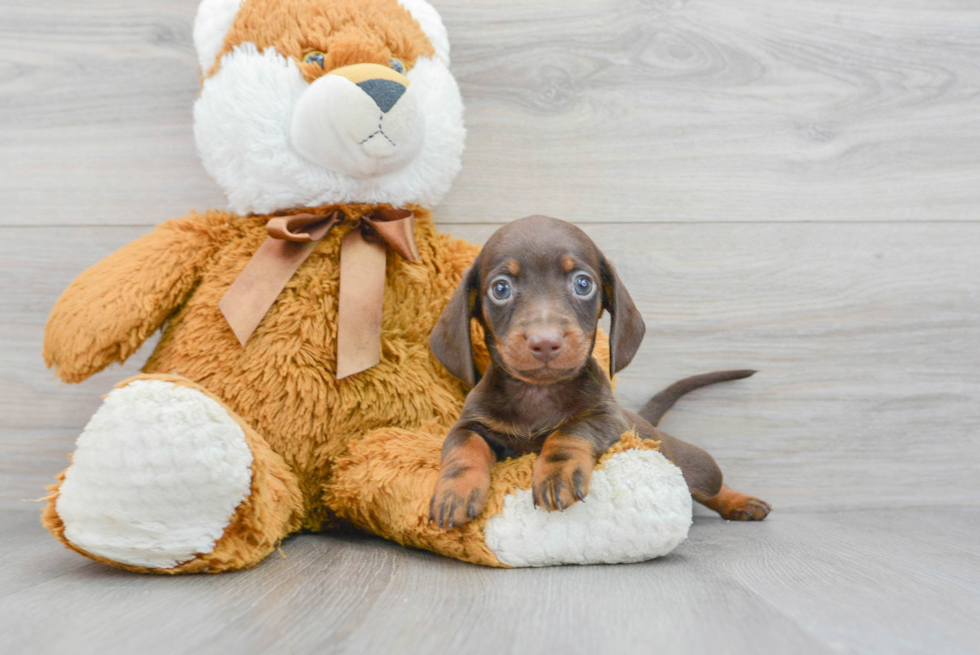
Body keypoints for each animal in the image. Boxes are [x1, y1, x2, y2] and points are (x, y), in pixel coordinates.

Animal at [430, 218, 772, 532]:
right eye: (500, 289)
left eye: (583, 284)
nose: (545, 342)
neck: (538, 394)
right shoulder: (469, 424)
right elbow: (464, 448)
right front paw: (455, 490)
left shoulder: (608, 419)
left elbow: (570, 431)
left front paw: (556, 471)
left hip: (691, 463)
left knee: (708, 486)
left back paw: (740, 501)